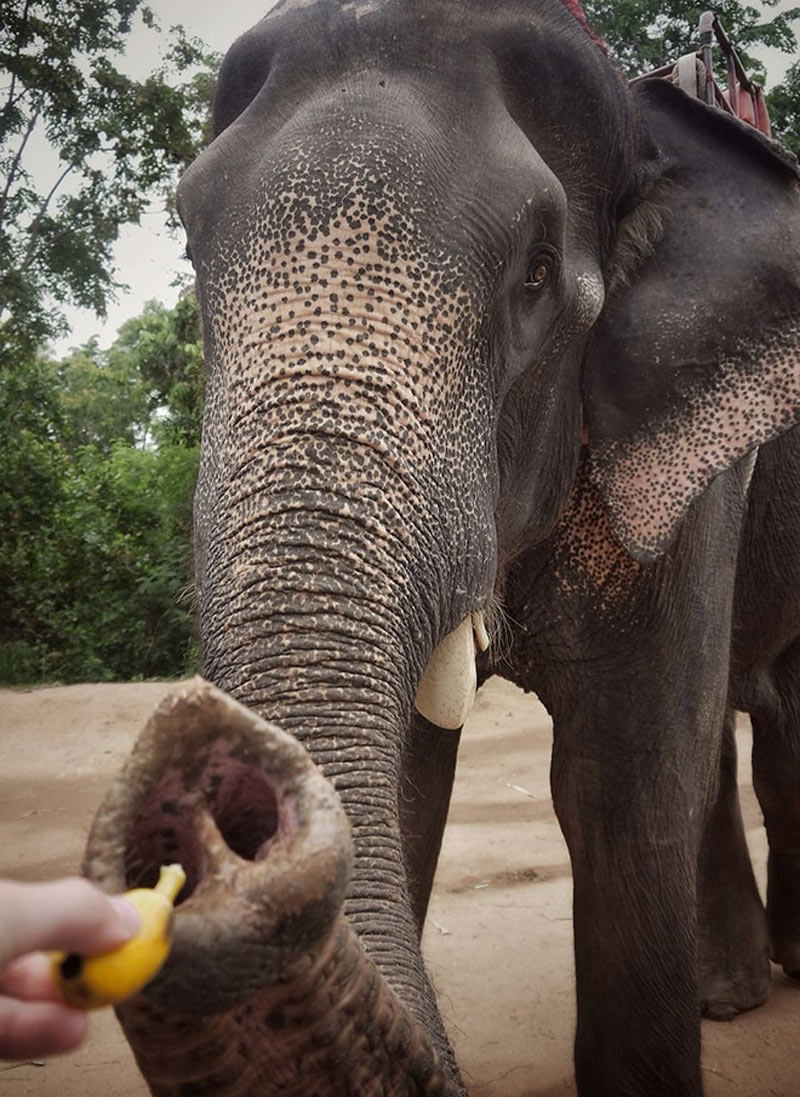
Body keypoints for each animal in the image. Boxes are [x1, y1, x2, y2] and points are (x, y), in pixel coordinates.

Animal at [79, 2, 798, 1097]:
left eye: (536, 272)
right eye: (193, 248)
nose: (199, 799)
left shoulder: (691, 458)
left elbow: (623, 779)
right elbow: (415, 785)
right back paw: (730, 991)